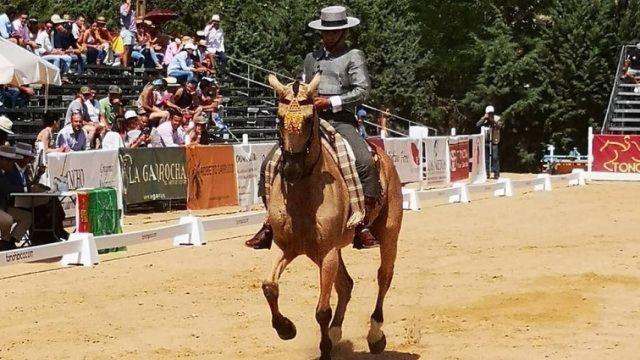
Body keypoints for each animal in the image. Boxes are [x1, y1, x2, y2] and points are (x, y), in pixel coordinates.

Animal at [262, 74, 402, 360]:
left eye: (309, 118)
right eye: (279, 118)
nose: (291, 168)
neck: (303, 194)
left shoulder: (326, 252)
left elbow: (322, 310)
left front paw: (324, 350)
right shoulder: (287, 247)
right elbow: (269, 286)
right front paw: (285, 328)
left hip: (389, 235)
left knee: (384, 276)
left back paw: (375, 336)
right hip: (332, 250)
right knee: (346, 285)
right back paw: (337, 332)